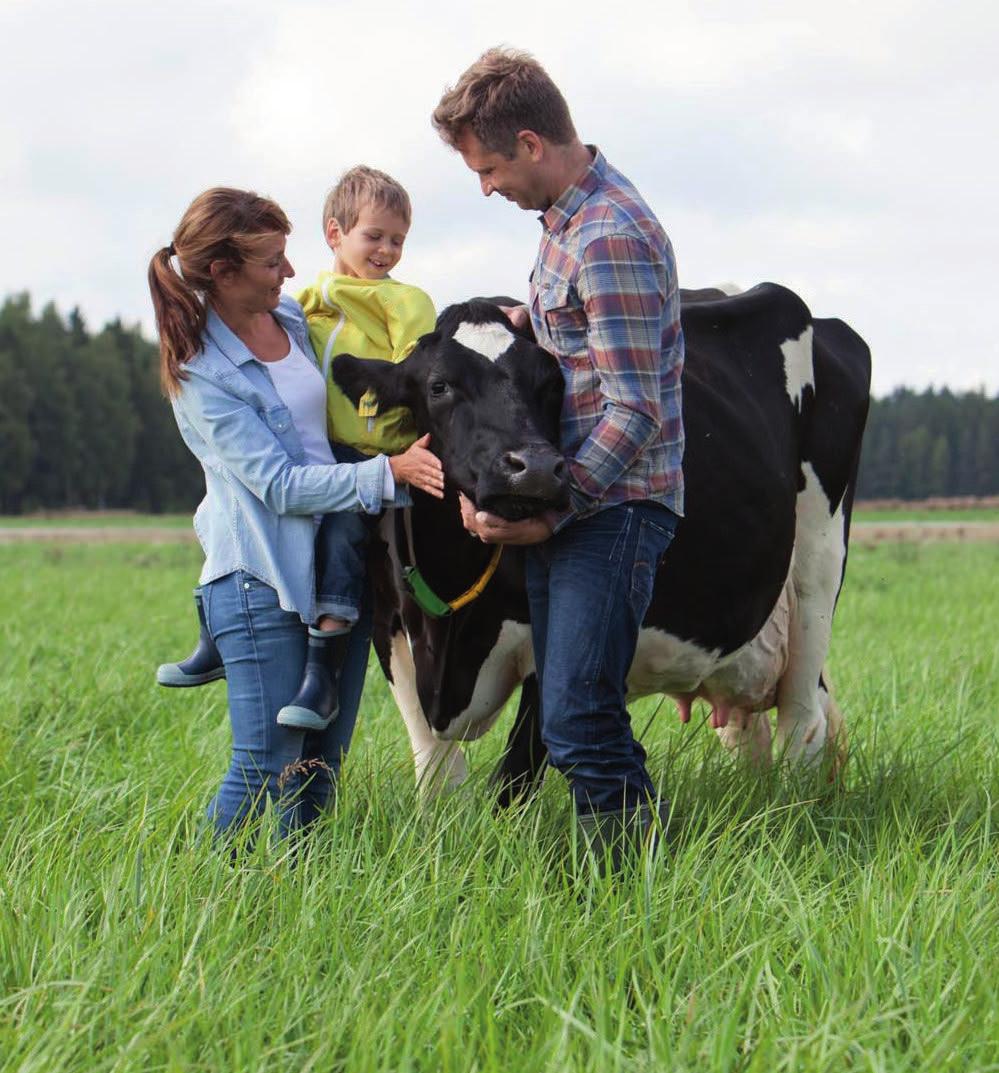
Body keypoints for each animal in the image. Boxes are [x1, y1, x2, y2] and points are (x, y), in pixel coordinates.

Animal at [332, 281, 871, 802]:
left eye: (551, 384)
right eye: (439, 385)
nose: (535, 468)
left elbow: (514, 781)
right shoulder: (391, 630)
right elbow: (437, 778)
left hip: (817, 570)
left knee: (803, 723)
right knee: (750, 731)